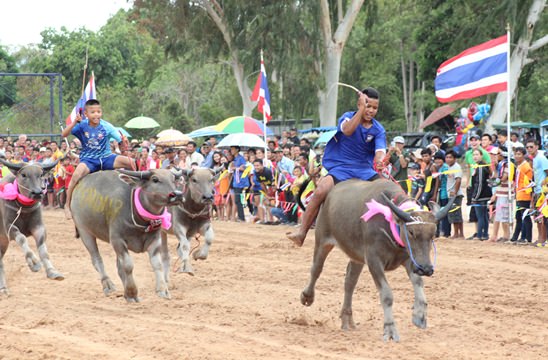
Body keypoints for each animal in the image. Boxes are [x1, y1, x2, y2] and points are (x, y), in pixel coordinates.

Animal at [0, 159, 63, 296]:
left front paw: (52, 271)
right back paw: (3, 288)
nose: (38, 193)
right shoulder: (9, 229)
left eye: (41, 175)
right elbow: (22, 239)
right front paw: (34, 263)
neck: (23, 207)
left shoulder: (38, 227)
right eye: (24, 175)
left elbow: (43, 248)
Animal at [71, 169, 183, 300]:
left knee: (118, 267)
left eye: (173, 179)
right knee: (96, 259)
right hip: (84, 231)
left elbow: (157, 264)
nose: (178, 194)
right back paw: (108, 285)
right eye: (155, 179)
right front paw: (131, 293)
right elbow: (128, 265)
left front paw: (163, 290)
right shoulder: (117, 240)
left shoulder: (155, 240)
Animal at [302, 179, 452, 342]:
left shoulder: (410, 260)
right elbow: (387, 295)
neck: (390, 224)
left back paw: (347, 320)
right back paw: (307, 296)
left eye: (433, 234)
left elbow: (418, 282)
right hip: (322, 240)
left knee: (350, 282)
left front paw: (419, 315)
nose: (426, 269)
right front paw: (390, 330)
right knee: (316, 269)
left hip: (357, 257)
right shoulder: (374, 261)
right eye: (411, 232)